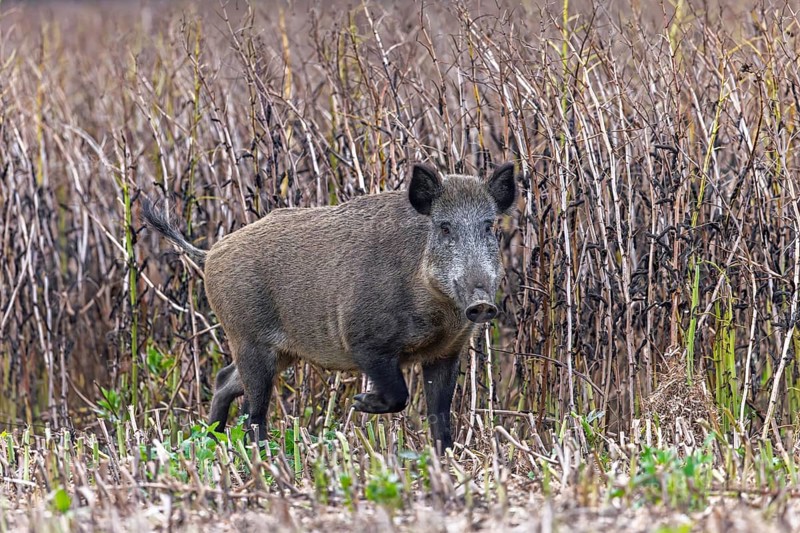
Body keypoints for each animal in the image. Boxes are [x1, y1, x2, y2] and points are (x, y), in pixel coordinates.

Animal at [141, 162, 516, 451]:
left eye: (489, 226)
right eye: (444, 227)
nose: (482, 304)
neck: (437, 308)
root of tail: (209, 254)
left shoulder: (446, 352)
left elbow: (440, 417)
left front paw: (445, 458)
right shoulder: (364, 340)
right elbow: (400, 394)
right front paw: (360, 404)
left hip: (281, 352)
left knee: (225, 381)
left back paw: (213, 441)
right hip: (248, 339)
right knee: (253, 410)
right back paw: (257, 454)